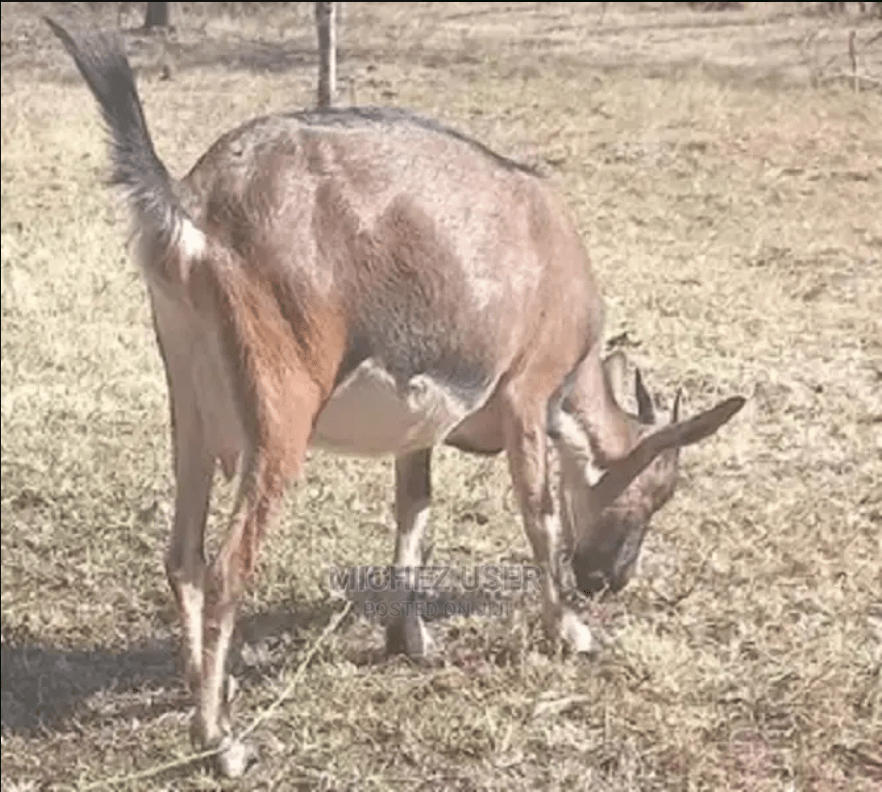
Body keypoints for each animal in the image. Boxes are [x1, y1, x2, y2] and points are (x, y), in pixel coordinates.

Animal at [47, 13, 745, 777]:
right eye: (655, 493)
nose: (608, 580)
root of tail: (193, 206)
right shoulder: (528, 391)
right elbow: (538, 514)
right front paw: (571, 630)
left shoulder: (419, 425)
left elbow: (415, 513)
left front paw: (409, 639)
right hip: (280, 407)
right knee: (230, 564)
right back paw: (222, 740)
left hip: (191, 399)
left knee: (183, 555)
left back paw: (208, 682)